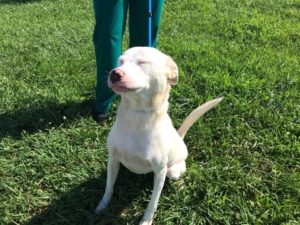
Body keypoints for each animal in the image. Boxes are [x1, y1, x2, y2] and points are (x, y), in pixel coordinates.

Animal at [95, 46, 221, 224]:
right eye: (120, 61)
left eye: (143, 62)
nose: (114, 73)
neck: (137, 114)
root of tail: (179, 137)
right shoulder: (112, 160)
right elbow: (108, 187)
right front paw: (102, 206)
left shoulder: (160, 171)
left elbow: (152, 203)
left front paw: (146, 221)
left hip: (172, 171)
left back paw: (181, 185)